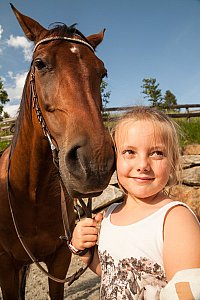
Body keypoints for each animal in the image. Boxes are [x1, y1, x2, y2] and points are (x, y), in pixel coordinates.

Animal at [0, 4, 114, 300]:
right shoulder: (6, 265)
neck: (31, 194)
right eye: (40, 64)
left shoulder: (60, 258)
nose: (95, 162)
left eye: (102, 72)